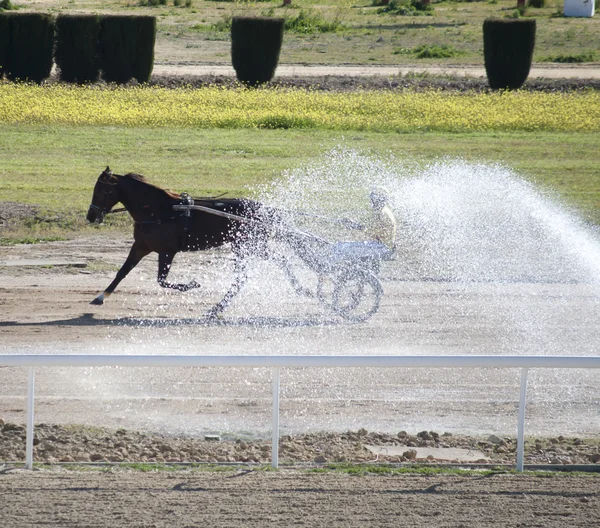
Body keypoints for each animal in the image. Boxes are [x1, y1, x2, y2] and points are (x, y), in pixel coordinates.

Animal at [86, 167, 278, 316]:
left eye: (101, 191)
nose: (90, 216)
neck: (159, 211)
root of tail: (264, 210)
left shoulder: (167, 251)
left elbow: (162, 280)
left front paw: (192, 284)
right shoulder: (141, 246)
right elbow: (122, 272)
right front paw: (101, 297)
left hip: (250, 245)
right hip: (244, 246)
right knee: (245, 277)